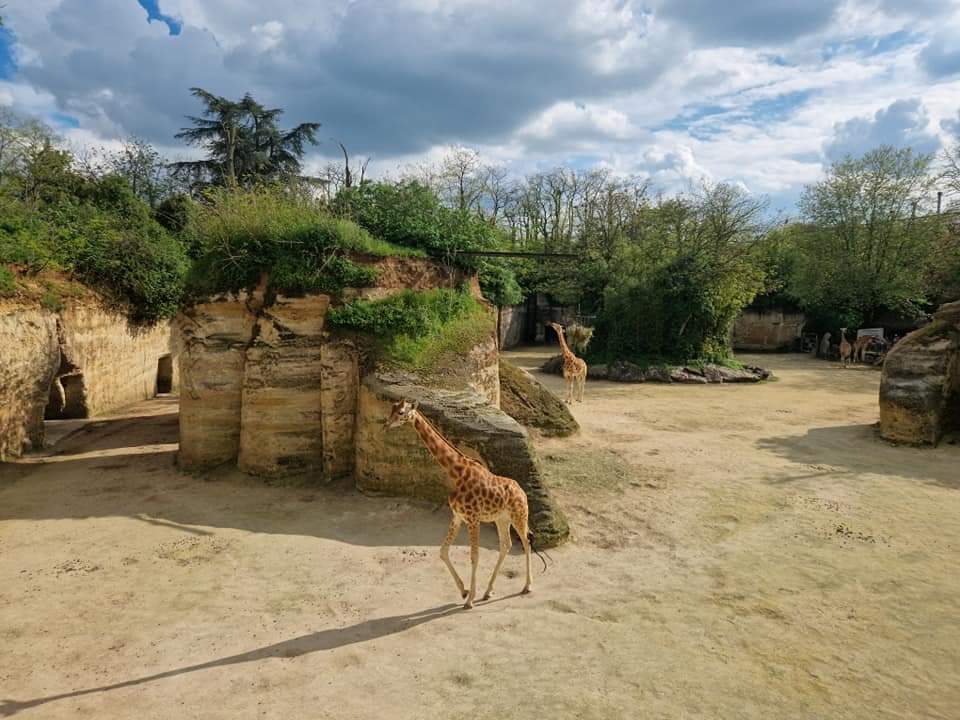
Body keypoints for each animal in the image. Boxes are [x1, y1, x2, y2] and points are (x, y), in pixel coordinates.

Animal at [384, 398, 533, 609]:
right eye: (392, 408)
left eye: (401, 412)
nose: (386, 424)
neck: (457, 472)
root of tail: (522, 492)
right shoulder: (457, 516)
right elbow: (443, 551)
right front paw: (464, 591)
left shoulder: (473, 519)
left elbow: (474, 556)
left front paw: (469, 600)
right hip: (501, 519)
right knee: (506, 544)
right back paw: (488, 591)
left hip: (519, 516)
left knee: (526, 543)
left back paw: (527, 586)